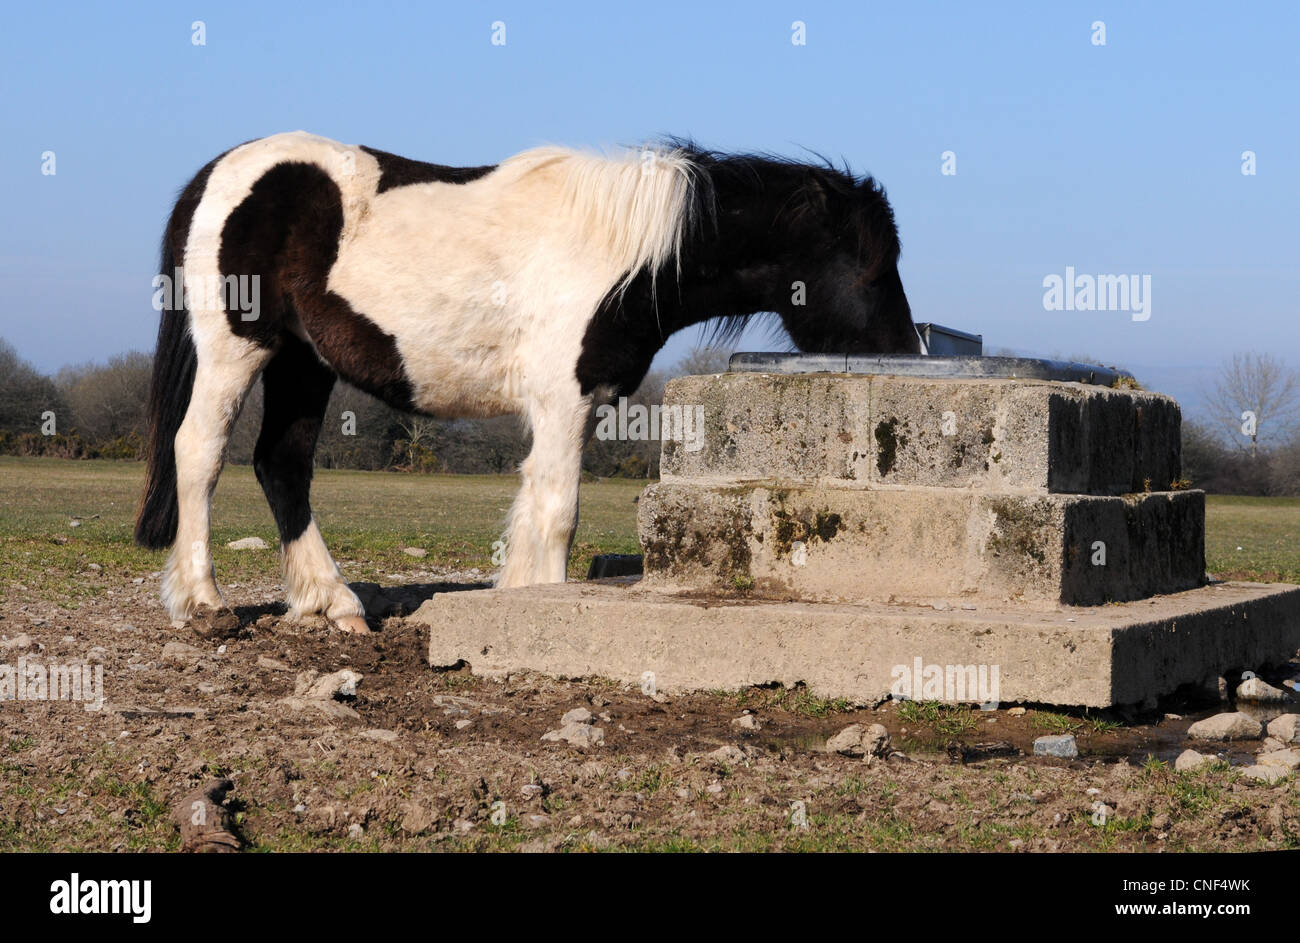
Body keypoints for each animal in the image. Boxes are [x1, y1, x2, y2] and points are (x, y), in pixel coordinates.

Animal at [137, 130, 920, 632]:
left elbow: (540, 509)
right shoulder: (562, 398)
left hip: (304, 363)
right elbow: (557, 513)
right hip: (237, 349)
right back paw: (203, 604)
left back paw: (332, 604)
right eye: (871, 268)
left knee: (283, 464)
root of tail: (217, 175)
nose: (907, 351)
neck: (623, 254)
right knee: (199, 452)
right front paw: (539, 600)